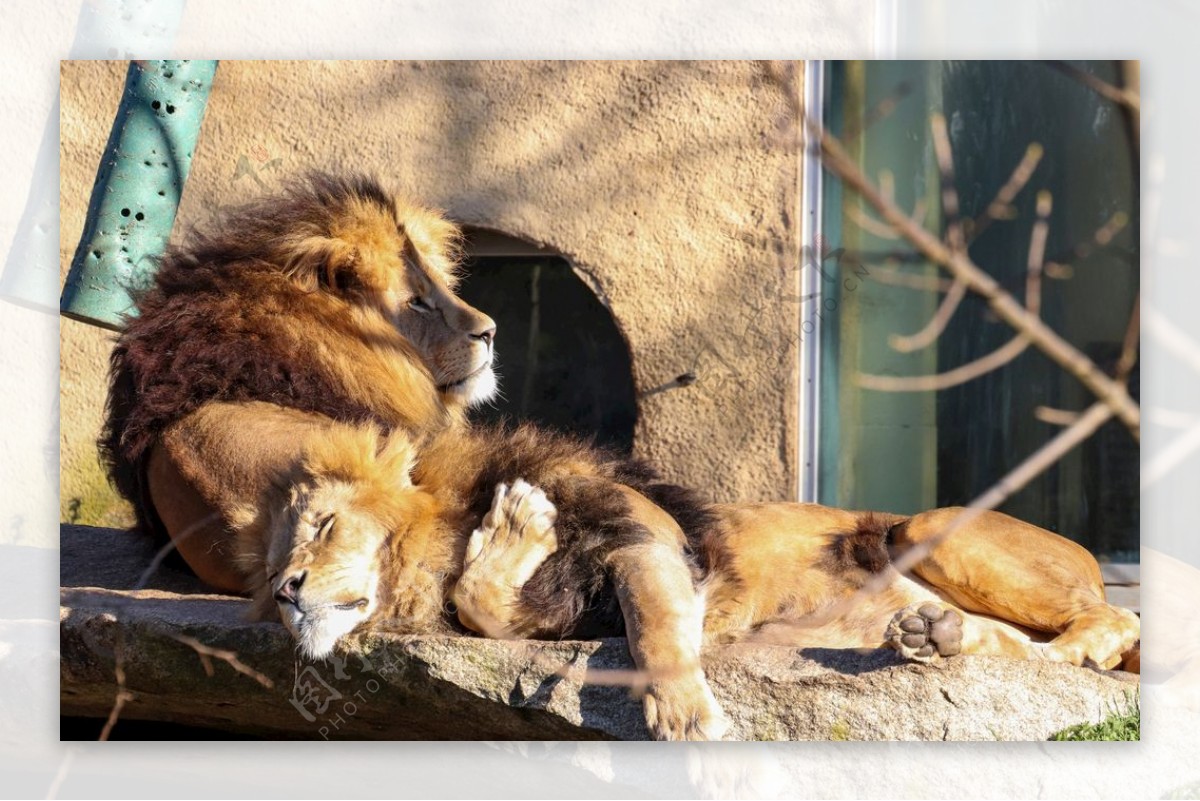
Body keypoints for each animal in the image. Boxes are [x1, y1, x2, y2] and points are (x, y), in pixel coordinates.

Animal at [105, 173, 1142, 738]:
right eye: (275, 565)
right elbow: (487, 607)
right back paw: (936, 636)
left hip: (933, 525)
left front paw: (682, 709)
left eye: (322, 527)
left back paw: (1060, 640)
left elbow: (652, 622)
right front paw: (509, 540)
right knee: (1018, 650)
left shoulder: (637, 528)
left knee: (1107, 625)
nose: (287, 592)